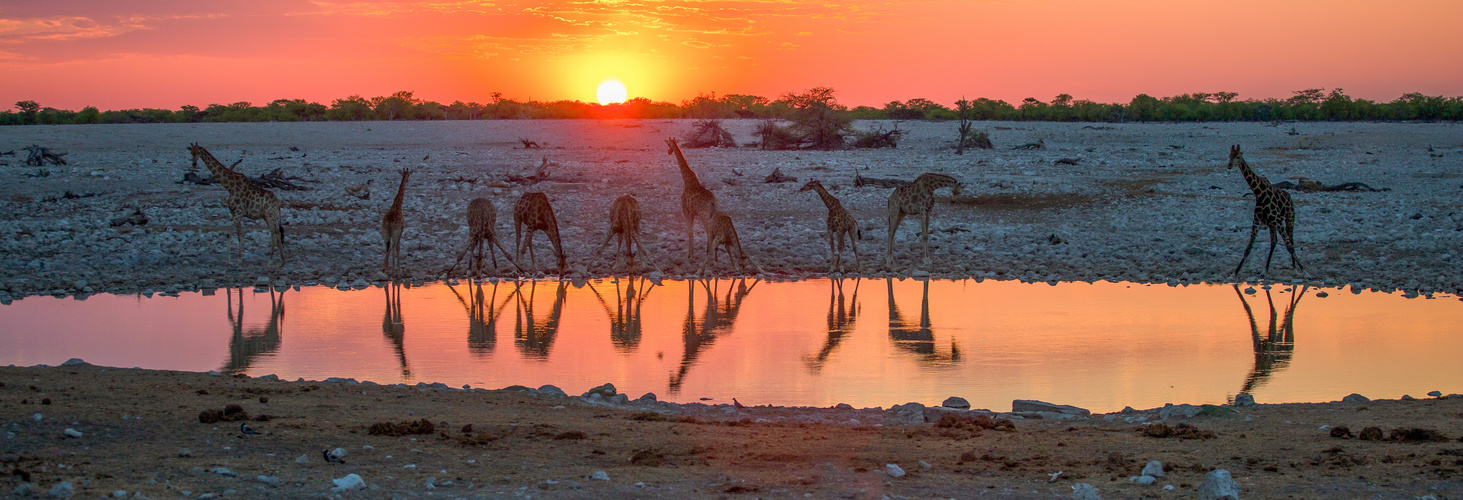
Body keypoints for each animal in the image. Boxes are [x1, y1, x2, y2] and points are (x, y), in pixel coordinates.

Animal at [1223, 144, 1304, 277]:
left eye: (1238, 157)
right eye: (1229, 155)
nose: (1229, 165)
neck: (1260, 194)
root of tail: (1289, 196)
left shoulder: (1275, 221)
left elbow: (1289, 246)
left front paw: (1305, 271)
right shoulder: (1256, 221)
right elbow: (1248, 248)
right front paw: (1234, 273)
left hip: (1288, 218)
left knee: (1291, 240)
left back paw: (1294, 268)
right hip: (1273, 224)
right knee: (1274, 241)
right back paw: (1265, 270)